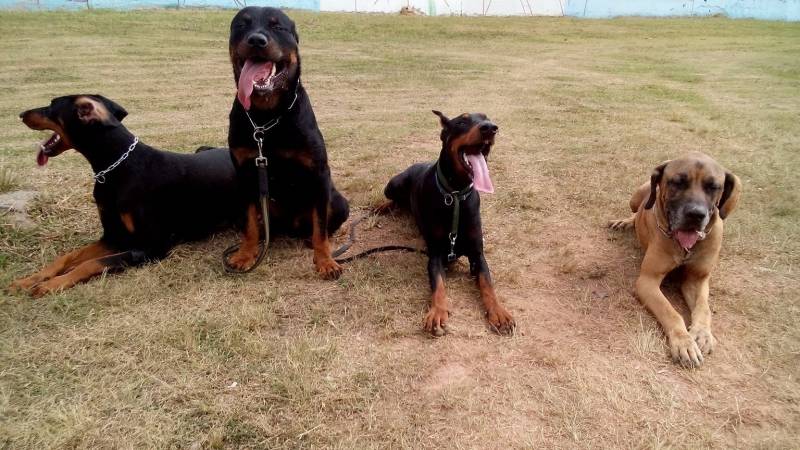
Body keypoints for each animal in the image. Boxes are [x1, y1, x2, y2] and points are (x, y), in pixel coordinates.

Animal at [8, 96, 238, 296]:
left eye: (51, 106)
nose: (21, 114)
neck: (116, 168)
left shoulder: (151, 247)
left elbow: (90, 263)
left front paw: (52, 284)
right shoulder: (113, 236)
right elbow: (68, 257)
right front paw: (29, 280)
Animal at [227, 7, 348, 278]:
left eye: (278, 27)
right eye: (241, 25)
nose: (256, 40)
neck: (266, 118)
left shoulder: (319, 173)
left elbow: (321, 225)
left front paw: (325, 260)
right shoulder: (245, 174)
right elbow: (249, 223)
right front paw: (245, 254)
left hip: (338, 201)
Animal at [376, 110, 512, 336]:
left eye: (486, 118)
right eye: (462, 122)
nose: (490, 128)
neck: (455, 194)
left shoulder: (477, 254)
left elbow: (487, 283)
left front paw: (499, 312)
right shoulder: (436, 254)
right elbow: (438, 284)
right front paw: (438, 312)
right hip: (393, 184)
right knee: (393, 200)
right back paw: (382, 207)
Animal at [612, 153, 744, 368]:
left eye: (713, 186)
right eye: (678, 182)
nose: (695, 214)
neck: (685, 248)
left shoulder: (697, 279)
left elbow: (704, 308)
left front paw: (702, 334)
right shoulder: (647, 281)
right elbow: (671, 312)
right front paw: (684, 343)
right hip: (636, 197)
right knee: (637, 210)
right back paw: (626, 221)